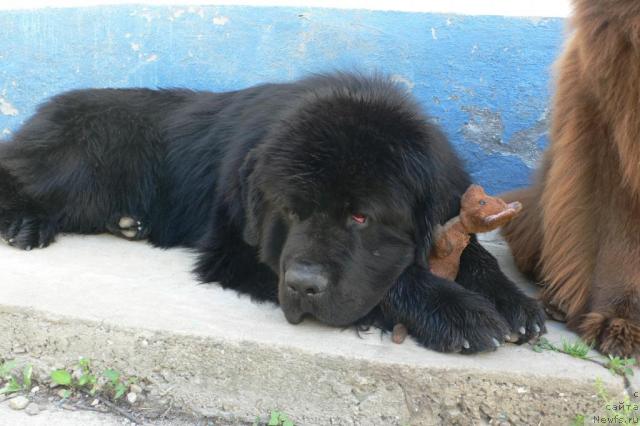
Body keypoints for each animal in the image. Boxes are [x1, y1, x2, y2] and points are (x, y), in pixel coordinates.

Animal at [0, 72, 544, 352]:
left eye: (361, 218)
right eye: (291, 211)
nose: (303, 286)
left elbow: (474, 253)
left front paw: (513, 302)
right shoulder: (235, 249)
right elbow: (394, 280)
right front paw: (457, 311)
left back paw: (127, 224)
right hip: (84, 161)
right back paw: (27, 221)